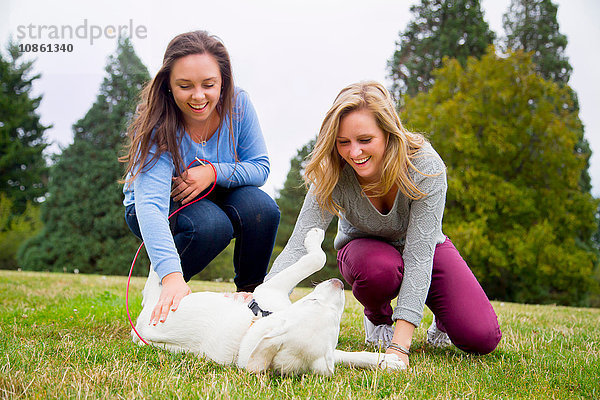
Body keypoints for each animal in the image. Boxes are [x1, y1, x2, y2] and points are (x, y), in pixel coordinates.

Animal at [133, 228, 406, 376]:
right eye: (312, 301)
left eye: (337, 320)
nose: (339, 284)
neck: (251, 329)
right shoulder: (269, 288)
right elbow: (316, 258)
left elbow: (351, 356)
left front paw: (387, 361)